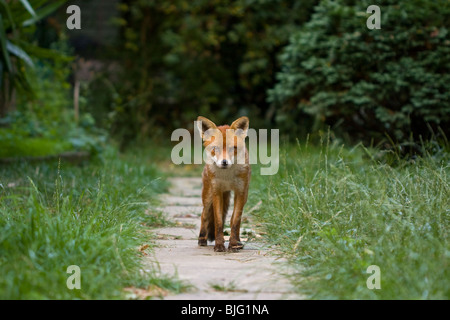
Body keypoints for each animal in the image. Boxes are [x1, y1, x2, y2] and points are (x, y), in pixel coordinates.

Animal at [197, 115, 251, 252]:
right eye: (215, 149)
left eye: (233, 148)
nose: (224, 162)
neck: (227, 177)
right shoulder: (217, 192)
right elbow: (219, 221)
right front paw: (219, 245)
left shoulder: (240, 192)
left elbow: (235, 221)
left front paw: (233, 244)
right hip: (208, 196)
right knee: (204, 215)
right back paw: (202, 239)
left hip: (243, 195)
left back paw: (238, 241)